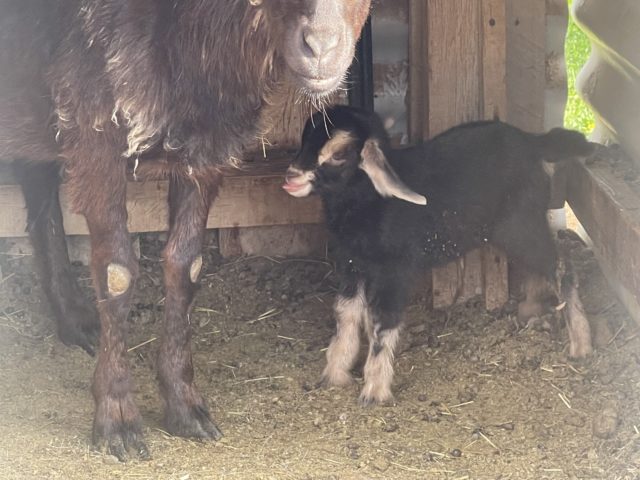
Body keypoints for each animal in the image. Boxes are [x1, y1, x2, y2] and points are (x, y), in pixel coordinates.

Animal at [0, 0, 371, 460]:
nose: (321, 48)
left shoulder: (207, 148)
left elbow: (185, 265)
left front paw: (184, 406)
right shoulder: (94, 130)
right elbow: (117, 273)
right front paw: (117, 417)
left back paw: (75, 320)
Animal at [283, 105, 595, 405]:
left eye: (339, 153)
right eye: (304, 138)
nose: (290, 178)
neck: (369, 202)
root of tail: (533, 141)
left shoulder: (394, 271)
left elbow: (383, 322)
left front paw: (374, 390)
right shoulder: (352, 265)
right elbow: (346, 314)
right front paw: (336, 372)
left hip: (521, 224)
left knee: (561, 267)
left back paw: (580, 345)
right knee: (540, 265)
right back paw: (531, 309)